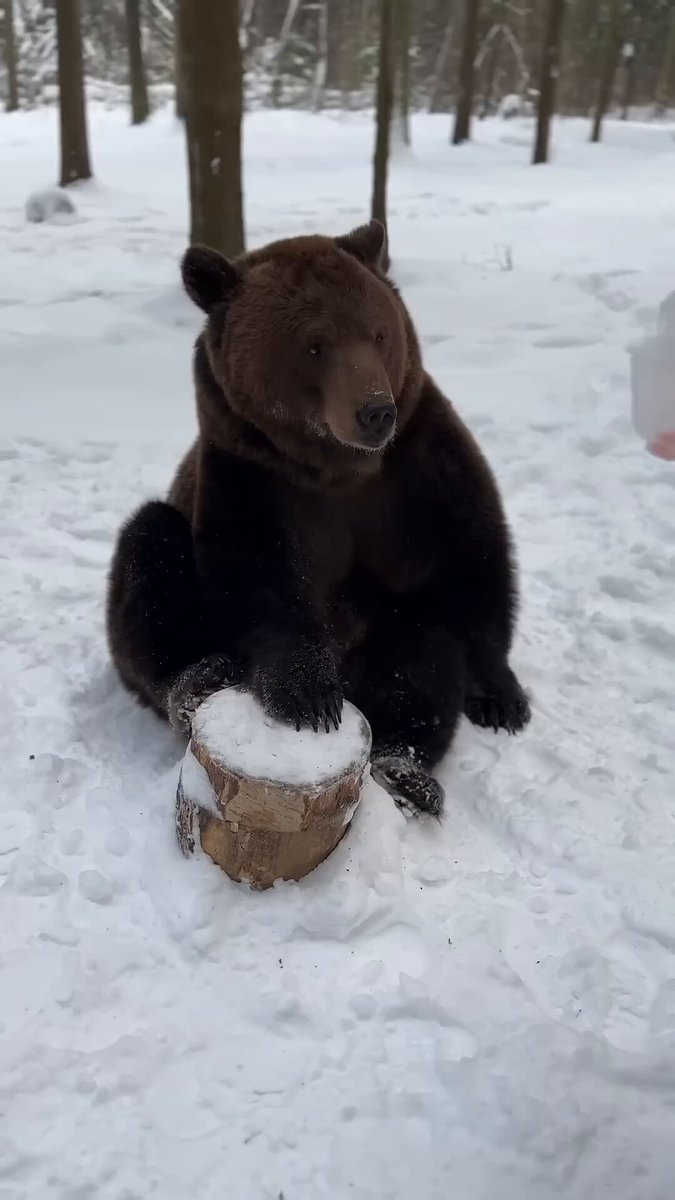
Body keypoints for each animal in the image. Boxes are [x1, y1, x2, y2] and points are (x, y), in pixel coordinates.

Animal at [106, 220, 530, 817]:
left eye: (378, 333)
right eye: (313, 344)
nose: (374, 412)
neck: (340, 469)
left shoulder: (419, 465)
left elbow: (471, 559)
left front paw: (501, 697)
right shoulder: (253, 472)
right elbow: (259, 574)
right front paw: (307, 694)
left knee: (424, 653)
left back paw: (405, 771)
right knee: (149, 554)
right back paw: (196, 678)